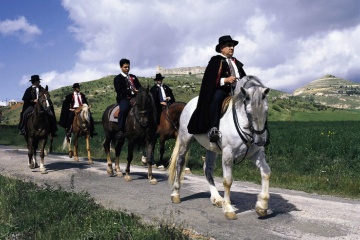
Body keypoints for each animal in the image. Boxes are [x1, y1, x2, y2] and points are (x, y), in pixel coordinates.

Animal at [169, 75, 270, 219]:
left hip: (211, 148)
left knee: (207, 169)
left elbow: (266, 172)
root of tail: (189, 103)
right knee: (180, 162)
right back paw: (176, 194)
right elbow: (227, 181)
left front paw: (262, 206)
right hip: (185, 139)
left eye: (266, 110)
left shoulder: (257, 154)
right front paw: (228, 209)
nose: (261, 140)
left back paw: (216, 198)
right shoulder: (228, 154)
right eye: (249, 111)